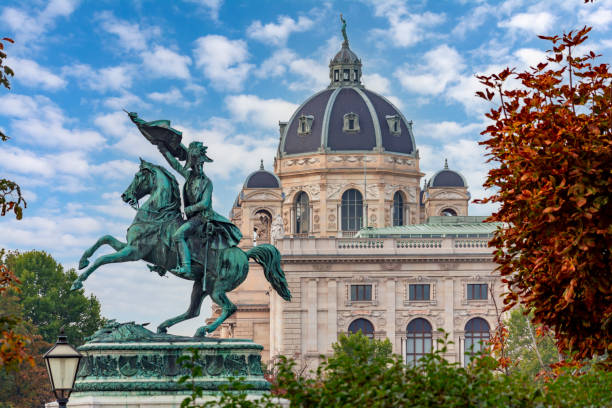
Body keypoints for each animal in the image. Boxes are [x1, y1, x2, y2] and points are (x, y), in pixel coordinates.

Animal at [71, 161, 292, 336]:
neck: (158, 215)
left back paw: (203, 330)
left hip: (218, 288)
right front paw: (82, 261)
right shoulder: (130, 247)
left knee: (230, 308)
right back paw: (164, 327)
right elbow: (104, 238)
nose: (125, 196)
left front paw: (78, 282)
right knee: (193, 311)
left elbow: (102, 259)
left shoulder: (133, 252)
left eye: (137, 176)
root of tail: (245, 255)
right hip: (201, 286)